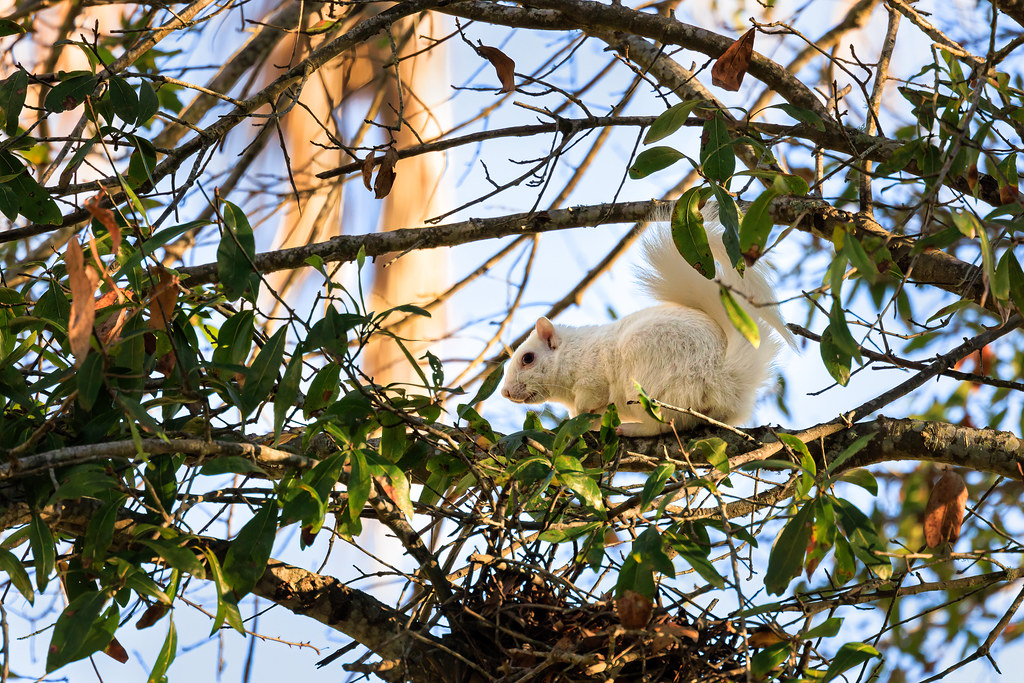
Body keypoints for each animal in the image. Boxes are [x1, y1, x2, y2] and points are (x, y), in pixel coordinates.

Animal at [500, 202, 793, 437]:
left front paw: (578, 417)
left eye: (528, 359)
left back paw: (631, 429)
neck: (572, 354)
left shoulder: (592, 379)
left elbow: (592, 398)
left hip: (648, 386)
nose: (504, 393)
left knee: (664, 425)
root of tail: (725, 378)